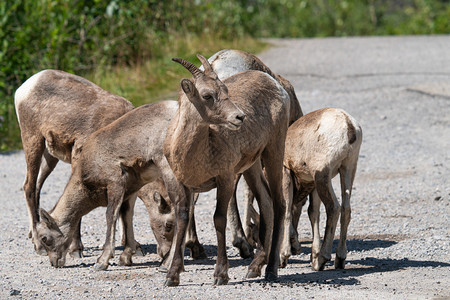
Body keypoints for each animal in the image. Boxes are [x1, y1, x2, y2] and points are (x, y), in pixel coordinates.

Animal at [14, 69, 134, 254]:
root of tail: (26, 86)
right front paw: (76, 249)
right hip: (33, 142)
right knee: (29, 187)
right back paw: (38, 244)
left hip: (50, 157)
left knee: (37, 188)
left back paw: (33, 234)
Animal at [163, 55, 290, 288]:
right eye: (207, 95)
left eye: (225, 90)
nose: (239, 117)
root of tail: (275, 84)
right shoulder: (181, 183)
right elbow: (182, 218)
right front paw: (172, 276)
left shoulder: (225, 179)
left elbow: (219, 219)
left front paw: (220, 275)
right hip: (252, 165)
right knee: (266, 202)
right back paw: (254, 268)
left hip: (274, 151)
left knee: (279, 203)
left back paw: (271, 270)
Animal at [280, 107, 364, 270]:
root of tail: (348, 125)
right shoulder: (312, 184)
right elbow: (313, 213)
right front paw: (313, 256)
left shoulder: (286, 172)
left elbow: (286, 210)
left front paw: (284, 256)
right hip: (348, 168)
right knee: (346, 209)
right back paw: (339, 259)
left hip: (323, 176)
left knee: (334, 208)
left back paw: (323, 259)